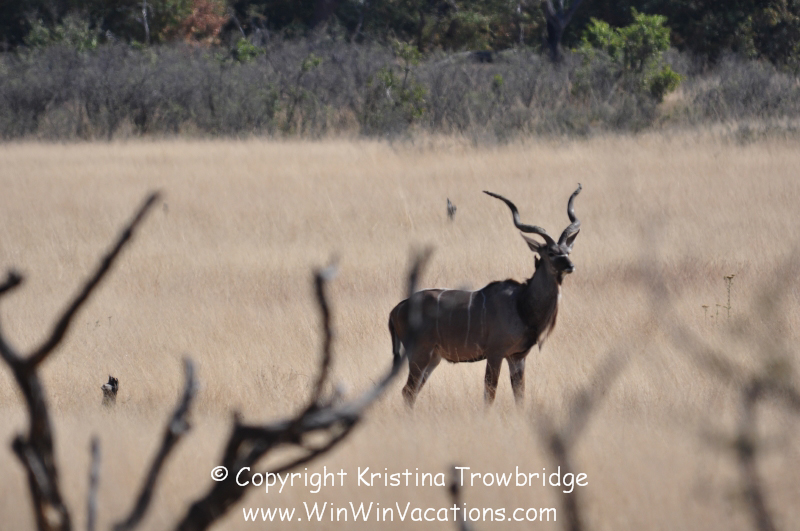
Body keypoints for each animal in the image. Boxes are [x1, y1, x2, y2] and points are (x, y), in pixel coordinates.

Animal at [389, 184, 582, 407]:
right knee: (408, 391)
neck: (521, 304)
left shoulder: (518, 357)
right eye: (551, 253)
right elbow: (489, 395)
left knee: (411, 392)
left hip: (433, 358)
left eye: (568, 251)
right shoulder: (495, 354)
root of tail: (396, 309)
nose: (570, 266)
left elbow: (520, 397)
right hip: (420, 354)